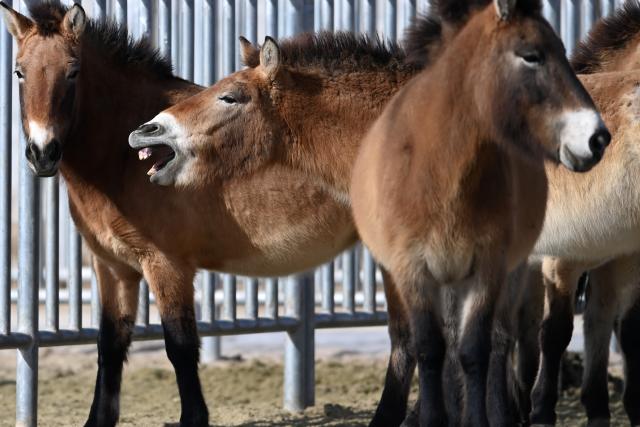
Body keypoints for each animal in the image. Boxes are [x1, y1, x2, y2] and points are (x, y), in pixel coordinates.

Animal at [1, 2, 446, 425]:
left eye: (73, 72)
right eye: (19, 72)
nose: (42, 152)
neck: (117, 161)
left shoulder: (166, 265)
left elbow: (180, 347)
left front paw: (193, 417)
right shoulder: (112, 267)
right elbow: (110, 346)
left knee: (407, 338)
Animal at [349, 0, 609, 424]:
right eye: (531, 55)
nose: (598, 138)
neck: (441, 171)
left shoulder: (487, 268)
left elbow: (474, 350)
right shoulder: (412, 270)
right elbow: (430, 348)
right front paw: (433, 418)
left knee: (496, 341)